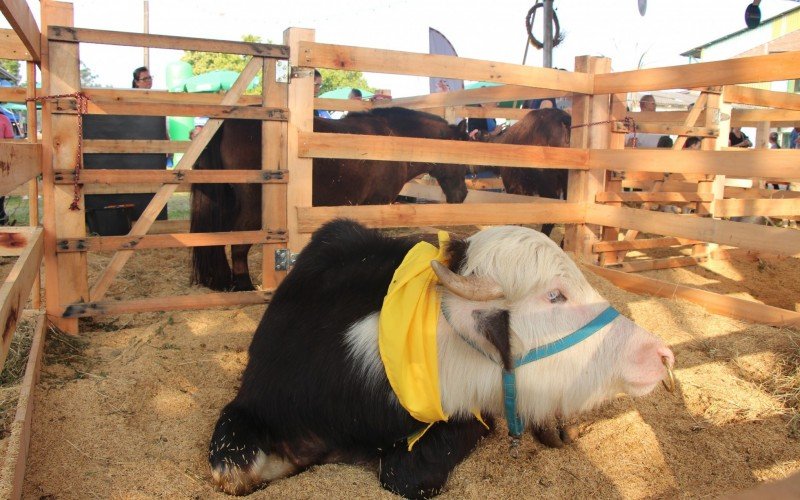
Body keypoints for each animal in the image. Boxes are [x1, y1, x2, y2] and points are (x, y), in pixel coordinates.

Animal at [190, 107, 468, 292]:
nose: (462, 195)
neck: (389, 142)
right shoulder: (374, 204)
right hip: (252, 208)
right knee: (238, 243)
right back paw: (243, 285)